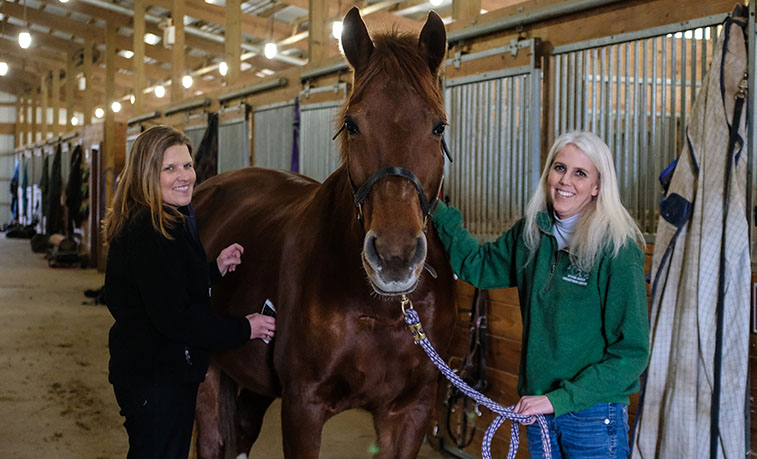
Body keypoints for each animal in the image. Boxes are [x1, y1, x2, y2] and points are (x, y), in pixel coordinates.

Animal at [195, 8, 454, 459]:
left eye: (438, 127)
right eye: (352, 124)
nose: (395, 257)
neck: (384, 310)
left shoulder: (411, 410)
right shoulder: (302, 406)